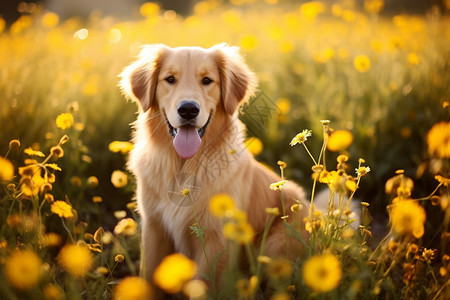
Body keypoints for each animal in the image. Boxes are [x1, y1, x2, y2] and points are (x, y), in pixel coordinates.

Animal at [119, 43, 310, 294]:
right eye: (170, 79)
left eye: (207, 80)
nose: (188, 109)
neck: (183, 165)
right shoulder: (154, 228)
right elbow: (150, 276)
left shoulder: (217, 237)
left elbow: (204, 284)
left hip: (277, 243)